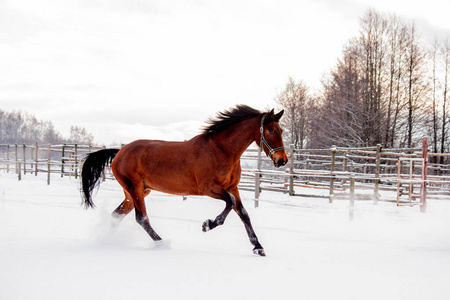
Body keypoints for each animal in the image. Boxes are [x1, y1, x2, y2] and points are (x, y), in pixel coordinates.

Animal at [80, 105, 288, 255]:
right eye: (271, 131)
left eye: (281, 130)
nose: (282, 160)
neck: (221, 150)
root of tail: (118, 153)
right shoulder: (208, 188)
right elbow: (229, 203)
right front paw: (207, 225)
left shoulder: (232, 187)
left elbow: (243, 214)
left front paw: (258, 247)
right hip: (135, 188)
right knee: (141, 218)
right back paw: (162, 243)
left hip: (137, 191)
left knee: (117, 214)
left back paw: (105, 240)